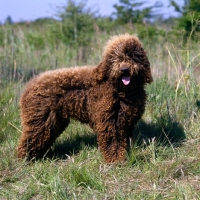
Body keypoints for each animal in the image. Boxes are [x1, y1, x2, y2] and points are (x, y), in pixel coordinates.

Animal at [17, 34, 153, 162]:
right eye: (115, 57)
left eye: (132, 56)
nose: (124, 69)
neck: (121, 89)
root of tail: (29, 85)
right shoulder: (109, 121)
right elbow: (112, 142)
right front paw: (115, 160)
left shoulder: (126, 122)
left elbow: (125, 141)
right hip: (40, 120)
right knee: (29, 139)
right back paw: (25, 159)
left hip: (54, 121)